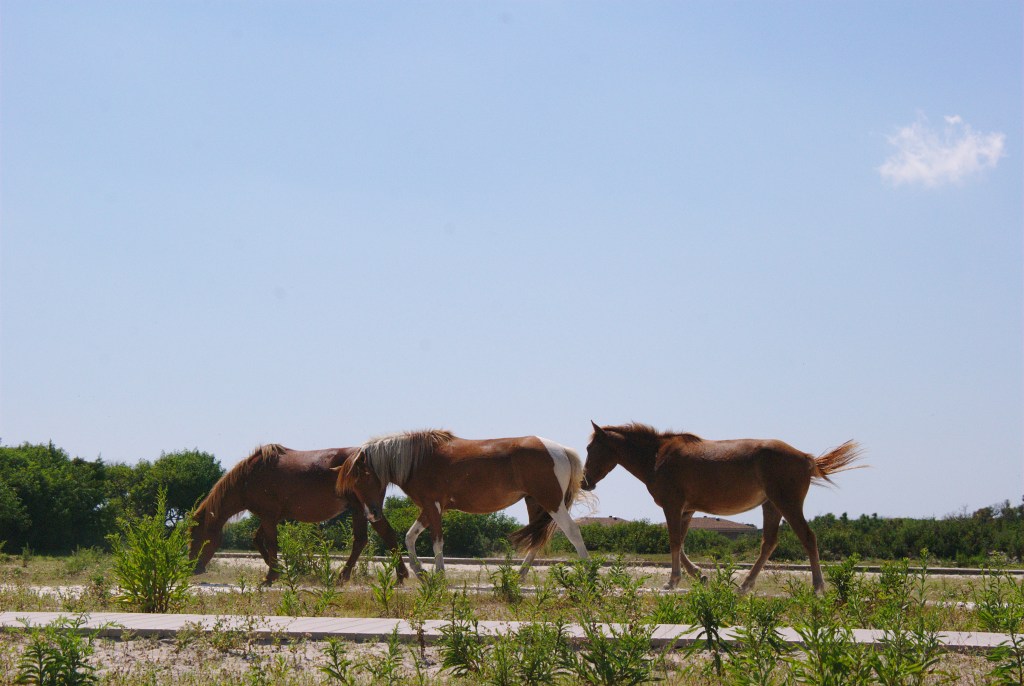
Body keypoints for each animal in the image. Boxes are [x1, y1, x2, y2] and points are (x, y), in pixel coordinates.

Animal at [190, 446, 405, 585]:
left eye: (196, 536)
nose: (193, 568)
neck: (249, 477)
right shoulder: (272, 516)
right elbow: (258, 540)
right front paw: (280, 570)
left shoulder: (268, 516)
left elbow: (271, 543)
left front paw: (271, 576)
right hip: (362, 509)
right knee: (372, 537)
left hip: (362, 507)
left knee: (373, 536)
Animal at [335, 430, 593, 581]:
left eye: (362, 478)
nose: (373, 514)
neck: (418, 460)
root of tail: (560, 450)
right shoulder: (429, 508)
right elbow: (410, 537)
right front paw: (420, 571)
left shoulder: (433, 506)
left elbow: (436, 541)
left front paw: (439, 575)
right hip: (535, 503)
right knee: (536, 540)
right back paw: (519, 575)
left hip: (551, 502)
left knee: (573, 532)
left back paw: (588, 574)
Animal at [581, 421, 860, 593]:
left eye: (590, 447)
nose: (584, 481)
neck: (657, 456)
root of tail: (805, 457)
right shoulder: (686, 510)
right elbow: (681, 543)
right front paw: (699, 575)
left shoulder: (672, 505)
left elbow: (674, 541)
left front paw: (672, 581)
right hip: (771, 506)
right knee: (769, 542)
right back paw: (745, 585)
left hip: (787, 504)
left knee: (807, 537)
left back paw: (817, 586)